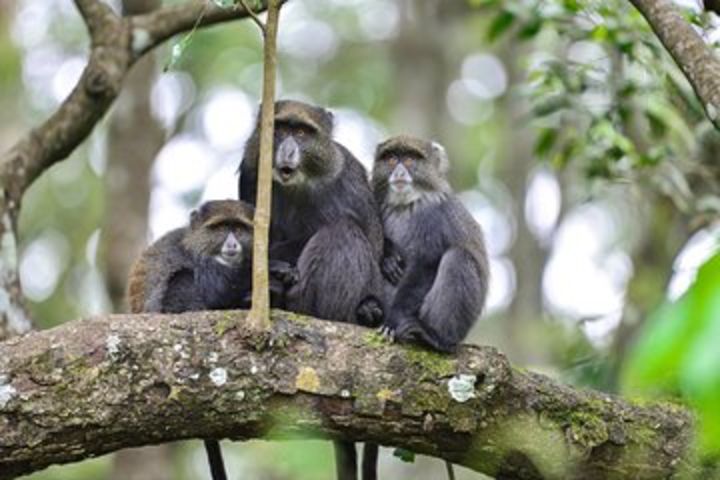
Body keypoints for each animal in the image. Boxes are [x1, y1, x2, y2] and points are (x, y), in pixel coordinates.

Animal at [128, 199, 296, 480]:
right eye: (219, 228)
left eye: (238, 229)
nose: (232, 245)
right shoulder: (197, 261)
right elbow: (216, 288)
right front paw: (274, 266)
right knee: (182, 280)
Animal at [239, 99, 386, 480]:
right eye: (281, 129)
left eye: (303, 133)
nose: (288, 150)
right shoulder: (250, 174)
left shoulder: (348, 180)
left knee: (343, 231)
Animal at [372, 135, 490, 352]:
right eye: (391, 159)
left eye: (409, 159)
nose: (399, 172)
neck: (406, 205)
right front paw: (389, 256)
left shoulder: (434, 214)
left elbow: (426, 264)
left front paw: (394, 321)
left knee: (458, 258)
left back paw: (436, 337)